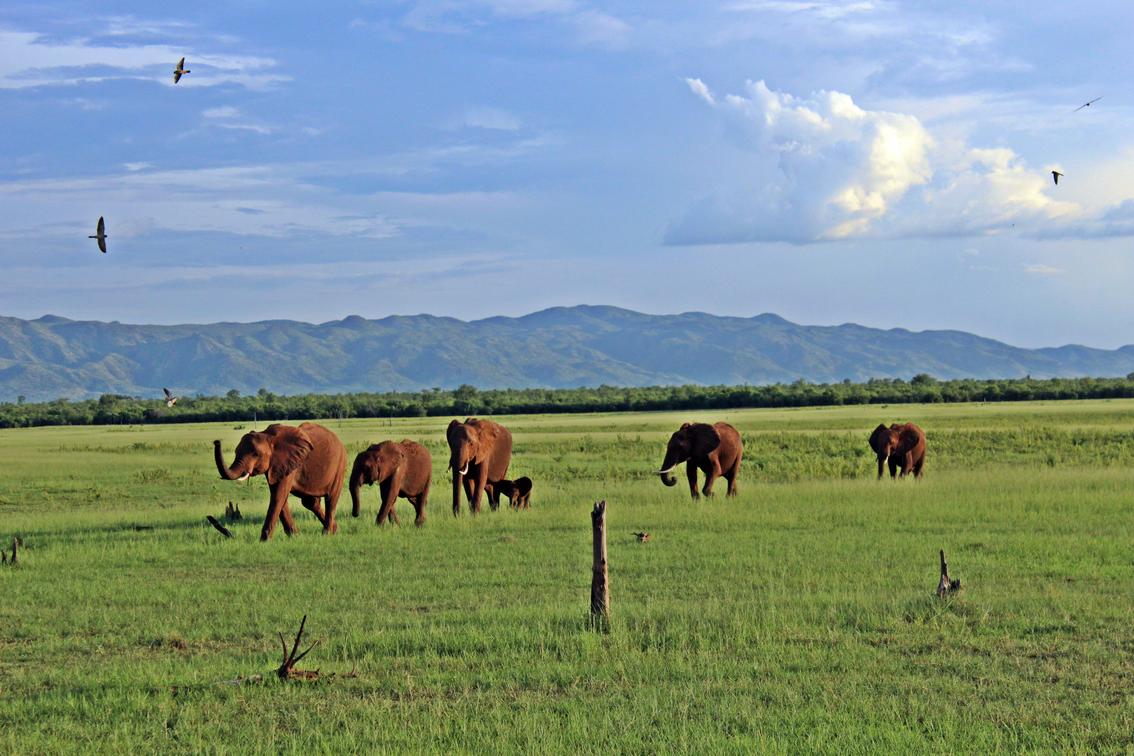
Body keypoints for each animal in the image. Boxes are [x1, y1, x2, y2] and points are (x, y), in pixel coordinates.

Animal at [213, 423, 344, 541]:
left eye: (256, 454)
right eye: (236, 452)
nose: (216, 442)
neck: (267, 435)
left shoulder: (288, 462)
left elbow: (278, 496)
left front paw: (264, 541)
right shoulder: (276, 465)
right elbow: (280, 496)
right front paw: (295, 536)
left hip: (339, 465)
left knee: (330, 499)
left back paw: (327, 534)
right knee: (310, 502)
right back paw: (335, 529)